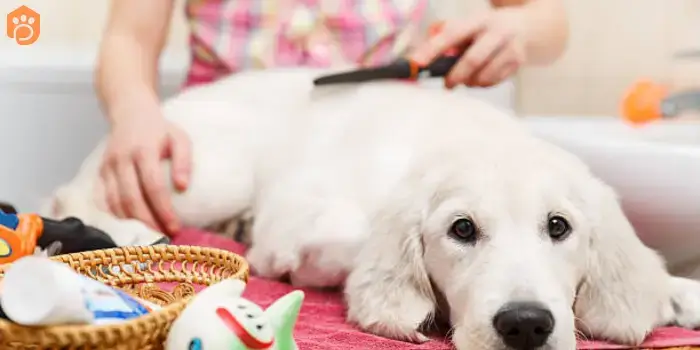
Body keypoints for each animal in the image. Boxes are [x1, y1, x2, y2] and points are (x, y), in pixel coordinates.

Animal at [45, 68, 700, 350]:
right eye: (462, 230)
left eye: (559, 227)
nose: (525, 325)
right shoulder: (304, 214)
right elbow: (346, 239)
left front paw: (677, 293)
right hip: (208, 174)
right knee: (78, 195)